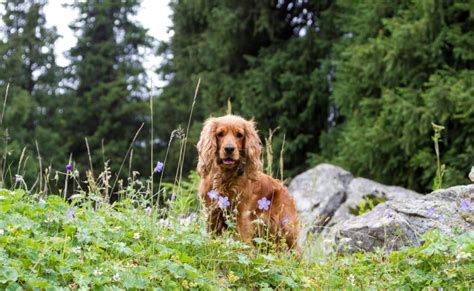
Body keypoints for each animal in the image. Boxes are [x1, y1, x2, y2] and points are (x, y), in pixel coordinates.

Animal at [196, 114, 300, 251]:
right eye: (220, 134)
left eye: (239, 135)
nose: (229, 149)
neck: (226, 177)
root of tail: (285, 189)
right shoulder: (212, 213)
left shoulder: (241, 216)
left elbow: (240, 243)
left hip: (286, 228)